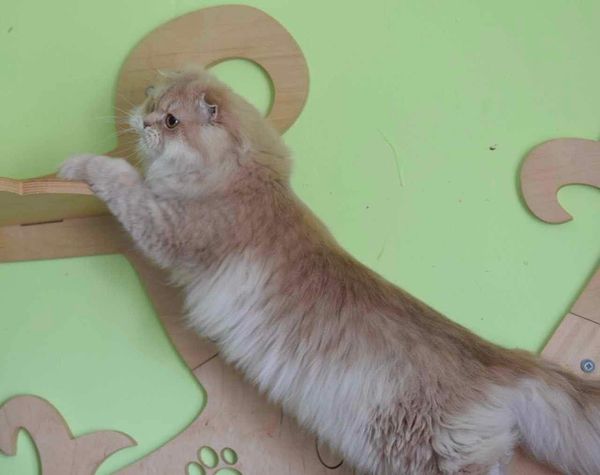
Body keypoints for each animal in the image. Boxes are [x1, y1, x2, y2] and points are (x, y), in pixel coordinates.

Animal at [58, 68, 600, 475]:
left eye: (171, 120)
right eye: (153, 100)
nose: (142, 119)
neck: (247, 178)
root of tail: (500, 358)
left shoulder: (171, 226)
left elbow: (121, 179)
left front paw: (75, 166)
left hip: (425, 450)